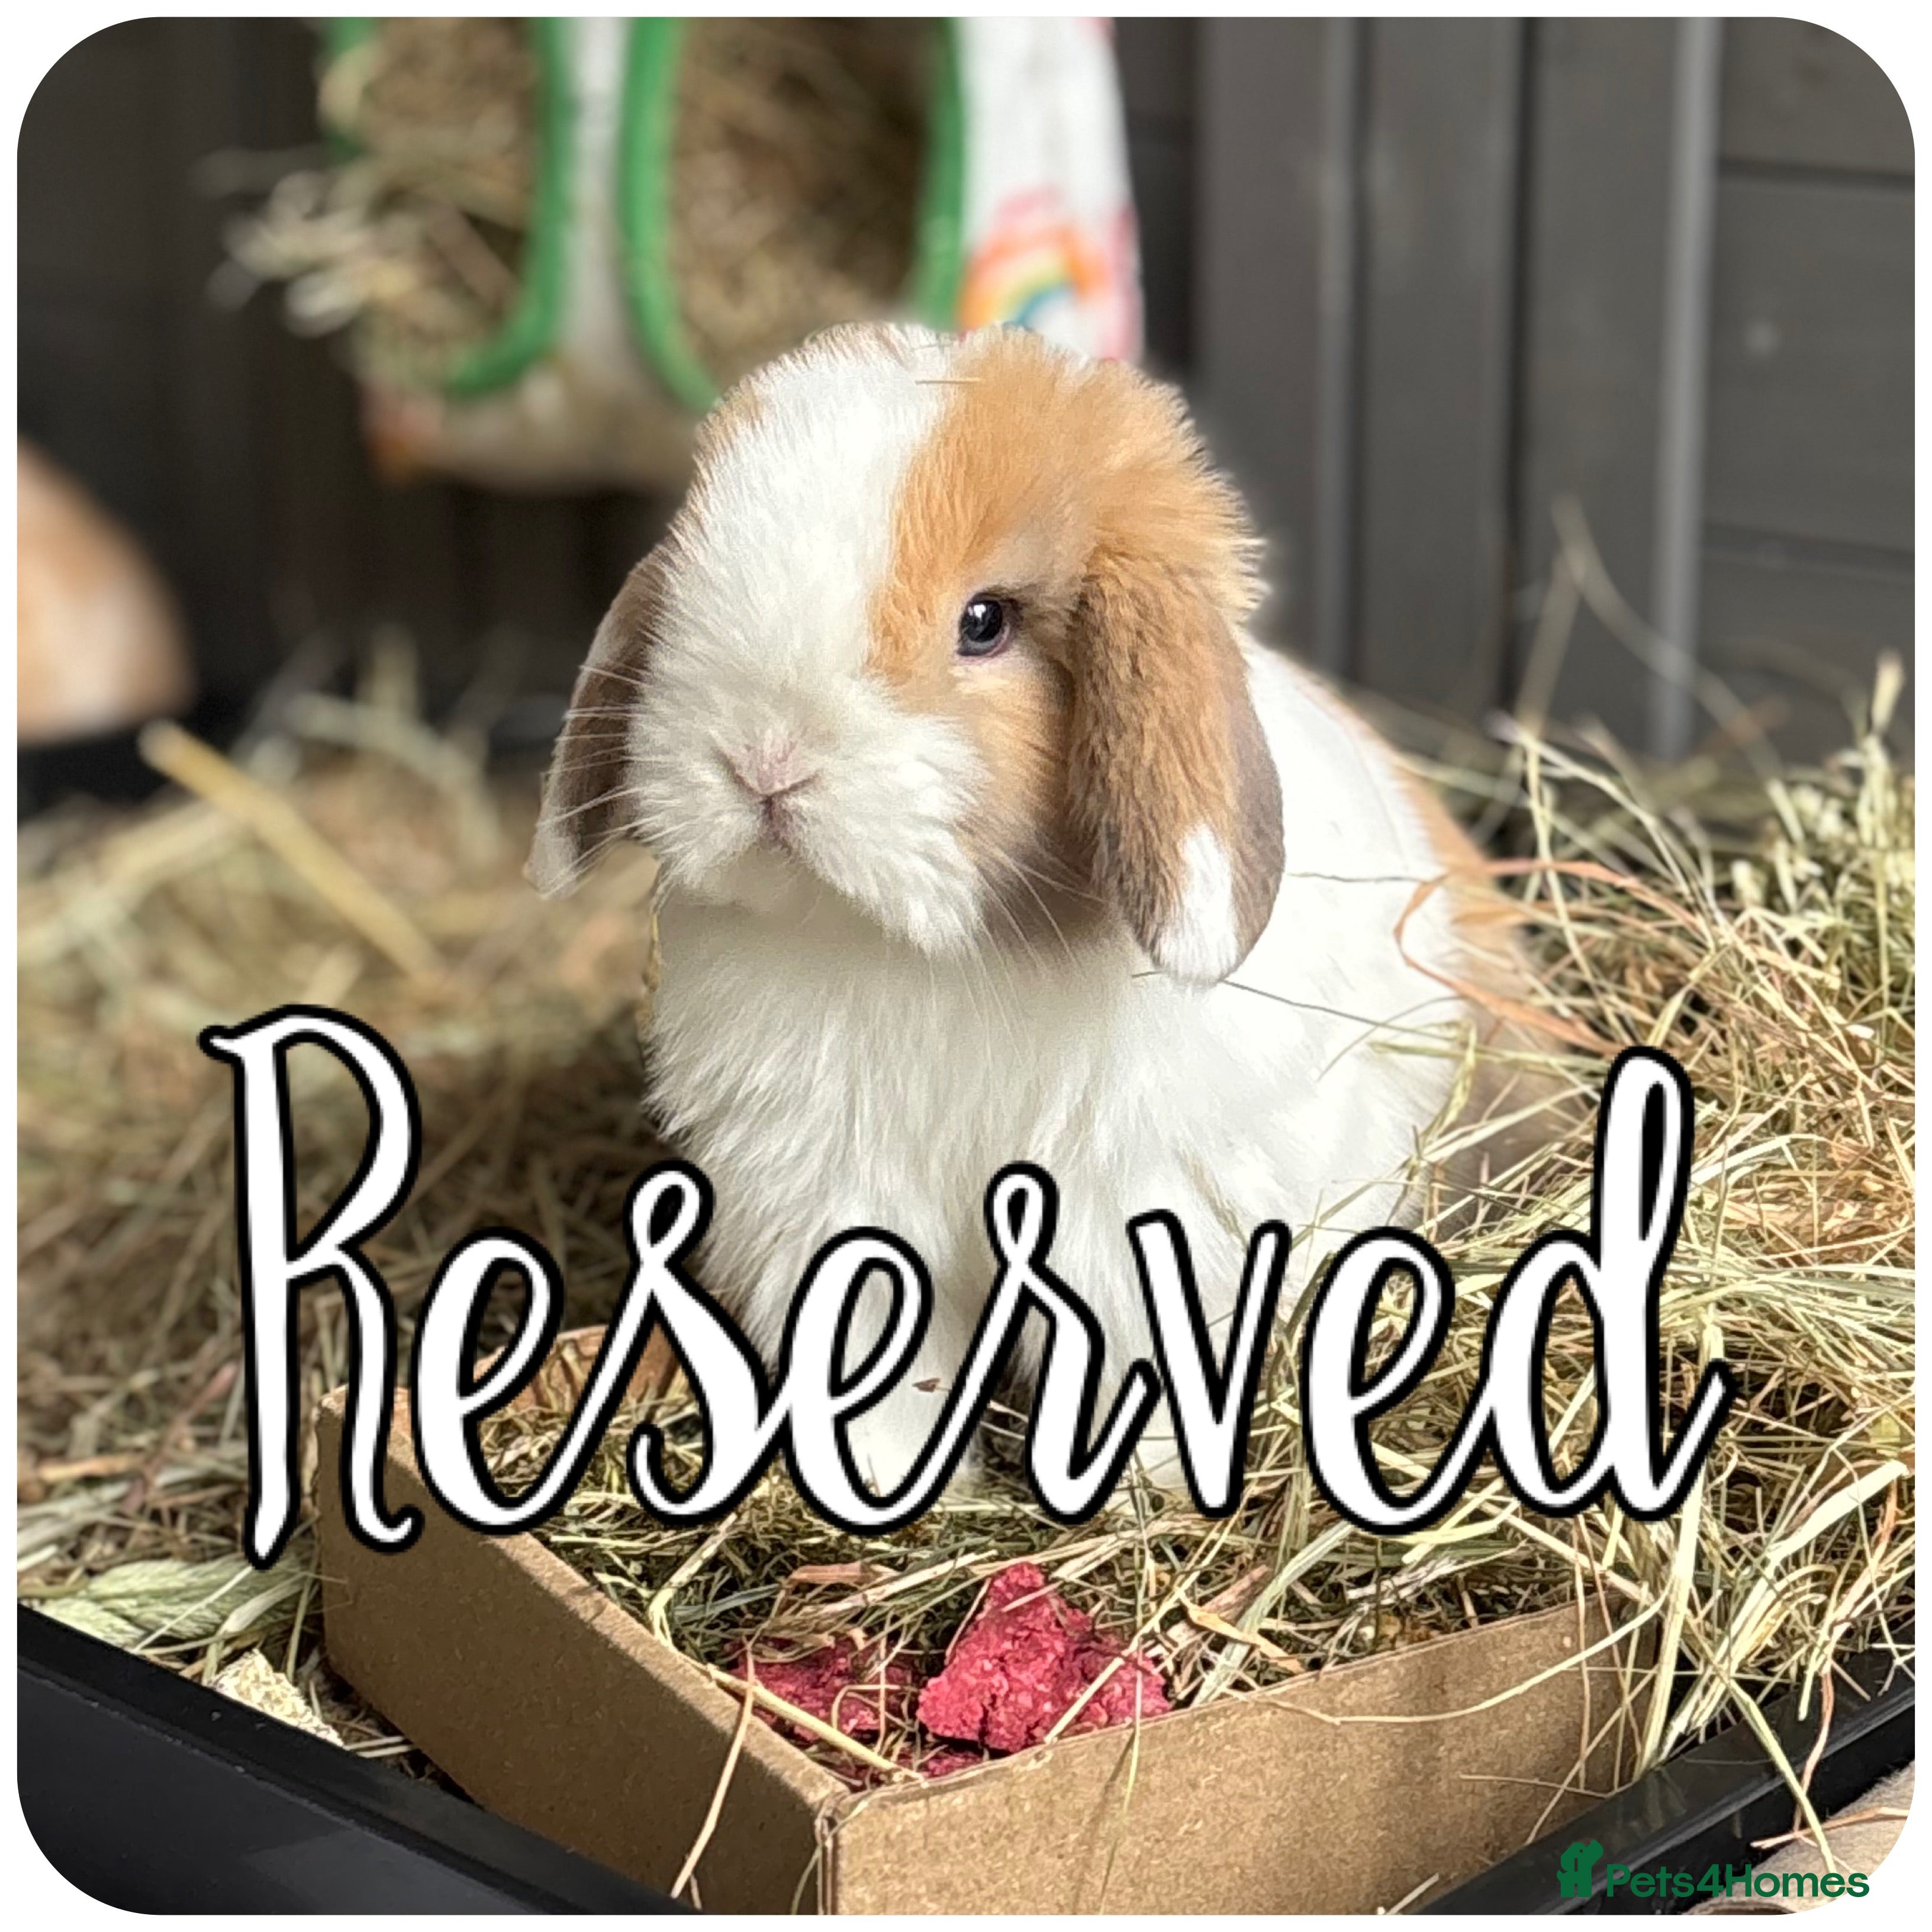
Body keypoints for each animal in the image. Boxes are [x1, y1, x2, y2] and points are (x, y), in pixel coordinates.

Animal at [529, 323, 1544, 1498]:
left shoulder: (1144, 1216)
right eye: (692, 577)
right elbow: (884, 1375)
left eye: (985, 622)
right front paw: (890, 1485)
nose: (760, 758)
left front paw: (1140, 1496)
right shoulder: (833, 1200)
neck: (925, 953)